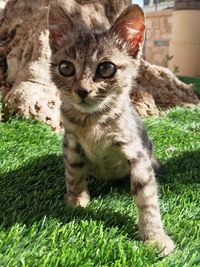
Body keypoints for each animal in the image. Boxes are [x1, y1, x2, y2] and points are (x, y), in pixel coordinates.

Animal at [47, 2, 174, 258]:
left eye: (106, 68)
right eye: (66, 67)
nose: (82, 90)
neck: (92, 121)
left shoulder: (136, 154)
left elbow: (147, 196)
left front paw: (154, 236)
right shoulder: (71, 143)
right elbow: (73, 172)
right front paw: (76, 199)